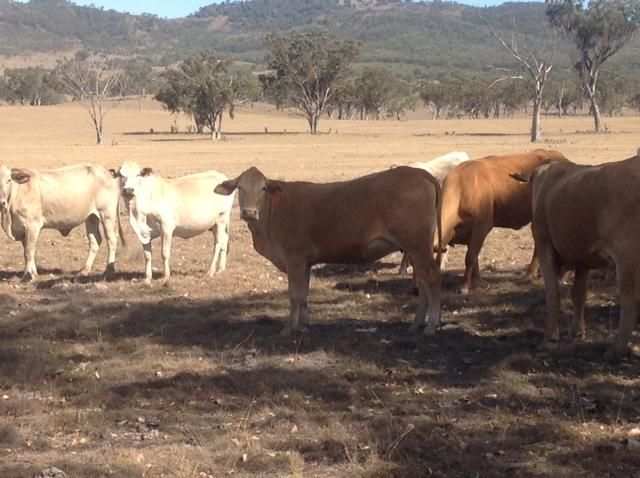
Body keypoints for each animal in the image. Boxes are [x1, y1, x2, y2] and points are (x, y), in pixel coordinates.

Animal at [214, 166, 443, 336]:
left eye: (263, 188)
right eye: (240, 187)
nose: (249, 212)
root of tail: (418, 172)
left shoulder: (294, 260)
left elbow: (294, 295)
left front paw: (289, 328)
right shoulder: (306, 263)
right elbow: (304, 295)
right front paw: (304, 324)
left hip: (418, 246)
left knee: (432, 279)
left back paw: (431, 326)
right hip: (416, 250)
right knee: (422, 282)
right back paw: (416, 324)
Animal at [440, 149, 568, 293]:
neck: (461, 188)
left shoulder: (482, 226)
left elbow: (470, 257)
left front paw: (464, 286)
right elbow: (474, 257)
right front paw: (476, 281)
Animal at [511, 150, 640, 362]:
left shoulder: (545, 246)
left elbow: (552, 294)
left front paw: (550, 338)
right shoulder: (582, 257)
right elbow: (579, 295)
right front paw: (578, 332)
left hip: (627, 258)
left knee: (631, 300)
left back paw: (617, 349)